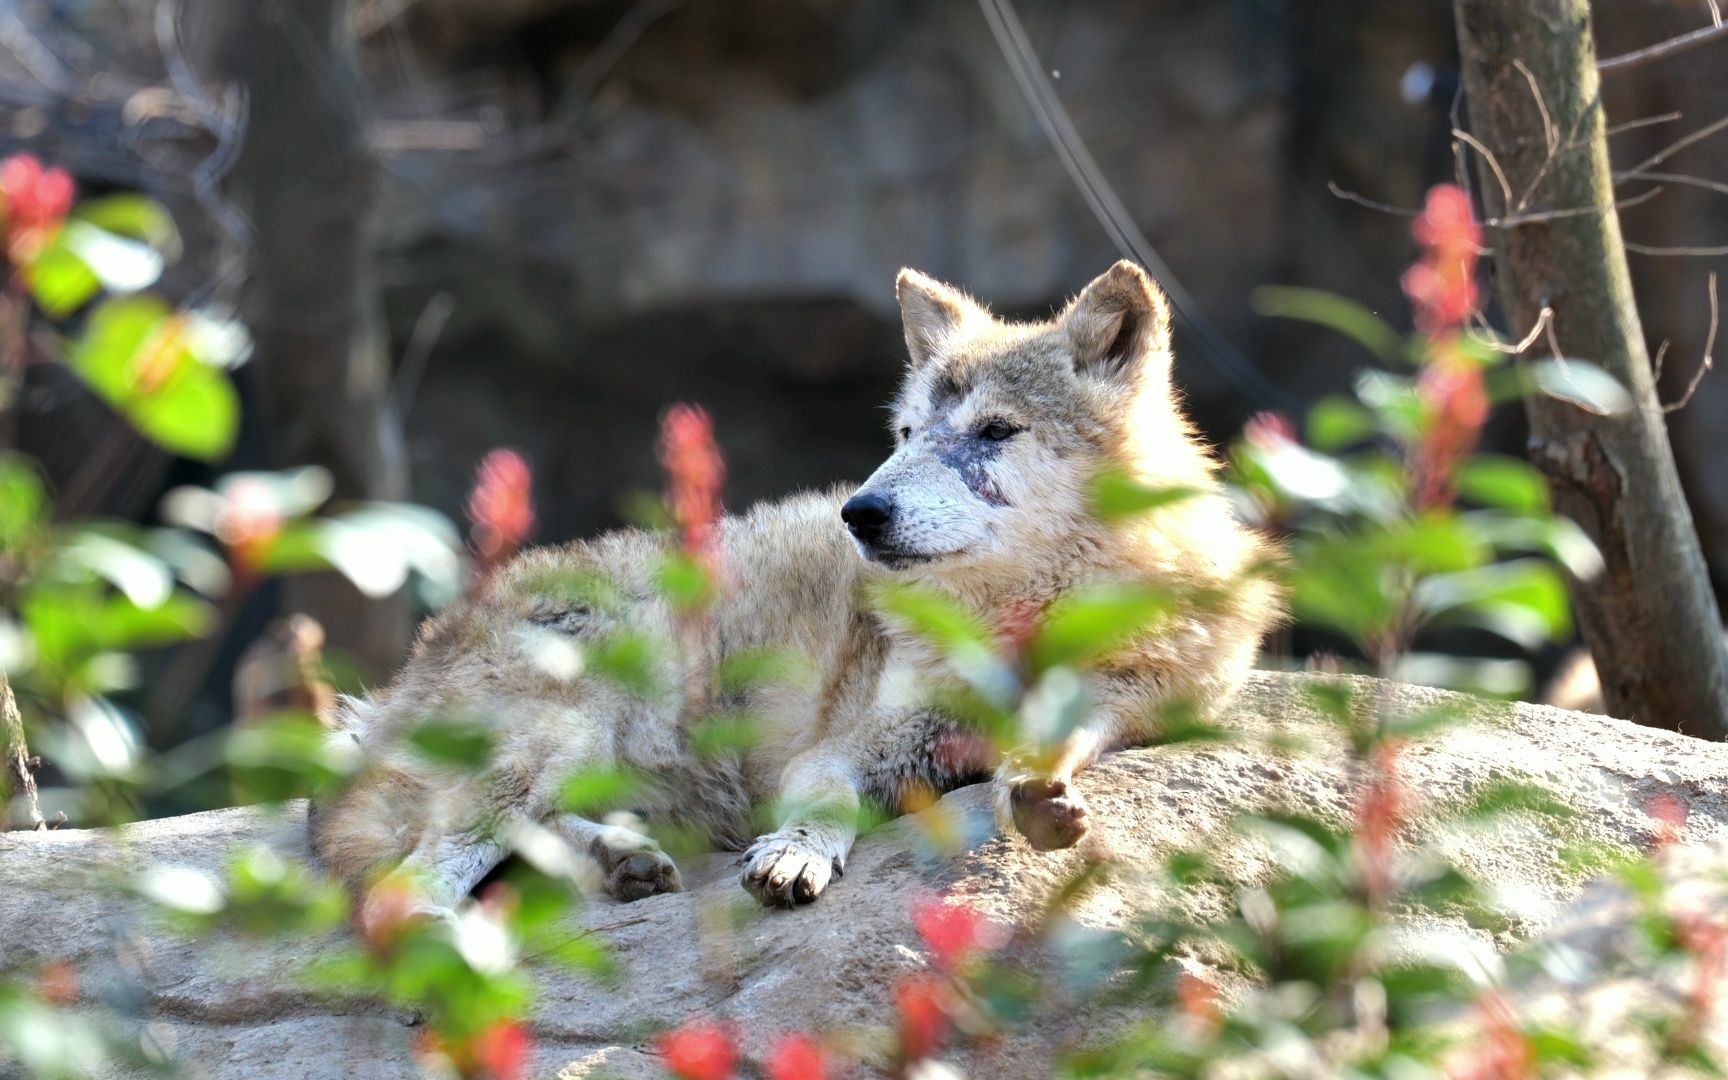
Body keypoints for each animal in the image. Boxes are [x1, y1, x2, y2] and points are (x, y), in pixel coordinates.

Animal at [311, 260, 1285, 912]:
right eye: (905, 432)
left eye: (995, 431)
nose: (862, 512)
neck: (1013, 632)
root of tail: (401, 679)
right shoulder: (850, 747)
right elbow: (821, 804)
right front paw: (794, 857)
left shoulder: (1135, 703)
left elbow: (1062, 740)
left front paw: (1039, 793)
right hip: (564, 732)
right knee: (415, 881)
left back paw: (623, 863)